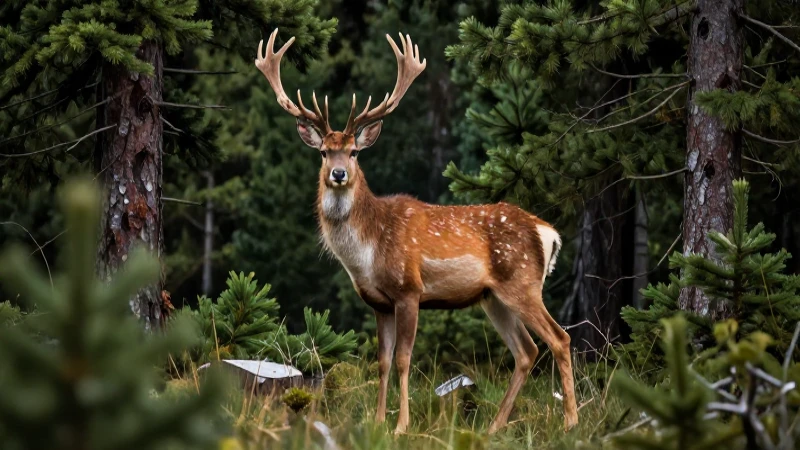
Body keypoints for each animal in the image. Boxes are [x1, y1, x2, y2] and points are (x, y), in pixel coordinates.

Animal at [255, 28, 578, 434]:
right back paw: (494, 426)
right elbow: (382, 362)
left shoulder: (410, 289)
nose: (339, 174)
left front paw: (401, 425)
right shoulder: (378, 302)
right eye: (324, 152)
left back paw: (570, 422)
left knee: (559, 338)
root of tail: (549, 233)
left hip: (522, 281)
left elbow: (405, 360)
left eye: (354, 152)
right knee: (526, 350)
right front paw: (378, 421)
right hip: (493, 297)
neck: (368, 251)